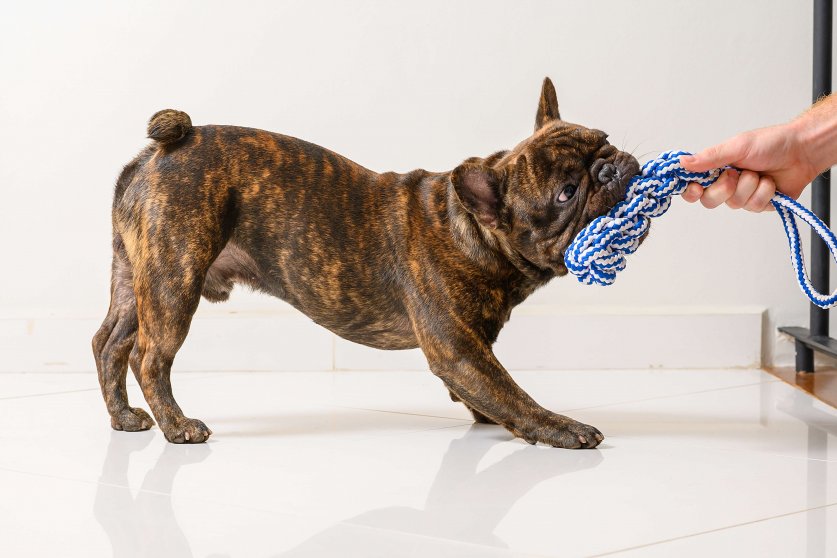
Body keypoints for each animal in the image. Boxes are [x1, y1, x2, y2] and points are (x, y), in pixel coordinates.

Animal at [91, 77, 636, 450]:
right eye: (566, 192)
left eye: (604, 137)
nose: (610, 165)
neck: (471, 229)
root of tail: (163, 149)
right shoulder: (458, 348)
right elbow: (509, 391)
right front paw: (559, 427)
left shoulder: (470, 345)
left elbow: (489, 391)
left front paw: (488, 415)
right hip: (175, 279)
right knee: (149, 356)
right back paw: (178, 426)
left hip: (137, 275)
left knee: (110, 342)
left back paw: (124, 418)